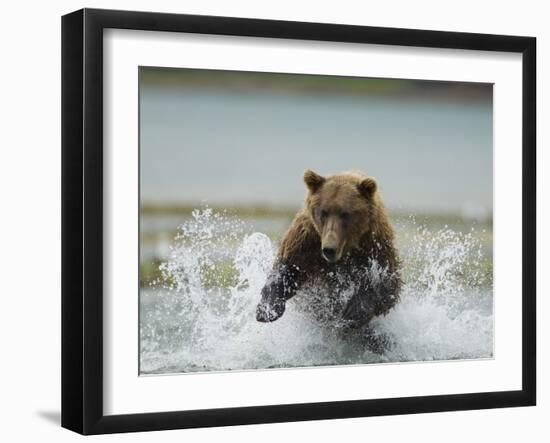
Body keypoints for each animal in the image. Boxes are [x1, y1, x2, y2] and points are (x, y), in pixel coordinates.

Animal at [256, 168, 404, 334]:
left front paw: (351, 315)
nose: (329, 249)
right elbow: (288, 270)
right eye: (324, 212)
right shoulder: (307, 241)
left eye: (345, 213)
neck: (347, 250)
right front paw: (266, 310)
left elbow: (386, 286)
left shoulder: (375, 246)